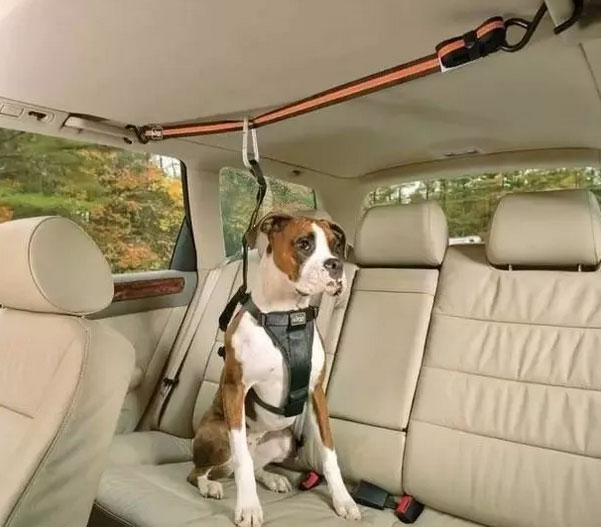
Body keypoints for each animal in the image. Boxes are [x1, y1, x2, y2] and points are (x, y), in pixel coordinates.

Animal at [187, 212, 361, 526]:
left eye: (335, 246)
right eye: (304, 244)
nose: (336, 264)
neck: (286, 315)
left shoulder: (316, 393)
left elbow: (329, 453)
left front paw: (343, 500)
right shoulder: (235, 388)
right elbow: (241, 459)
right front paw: (248, 507)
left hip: (284, 440)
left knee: (256, 465)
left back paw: (272, 478)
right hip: (218, 433)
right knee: (200, 471)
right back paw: (210, 485)